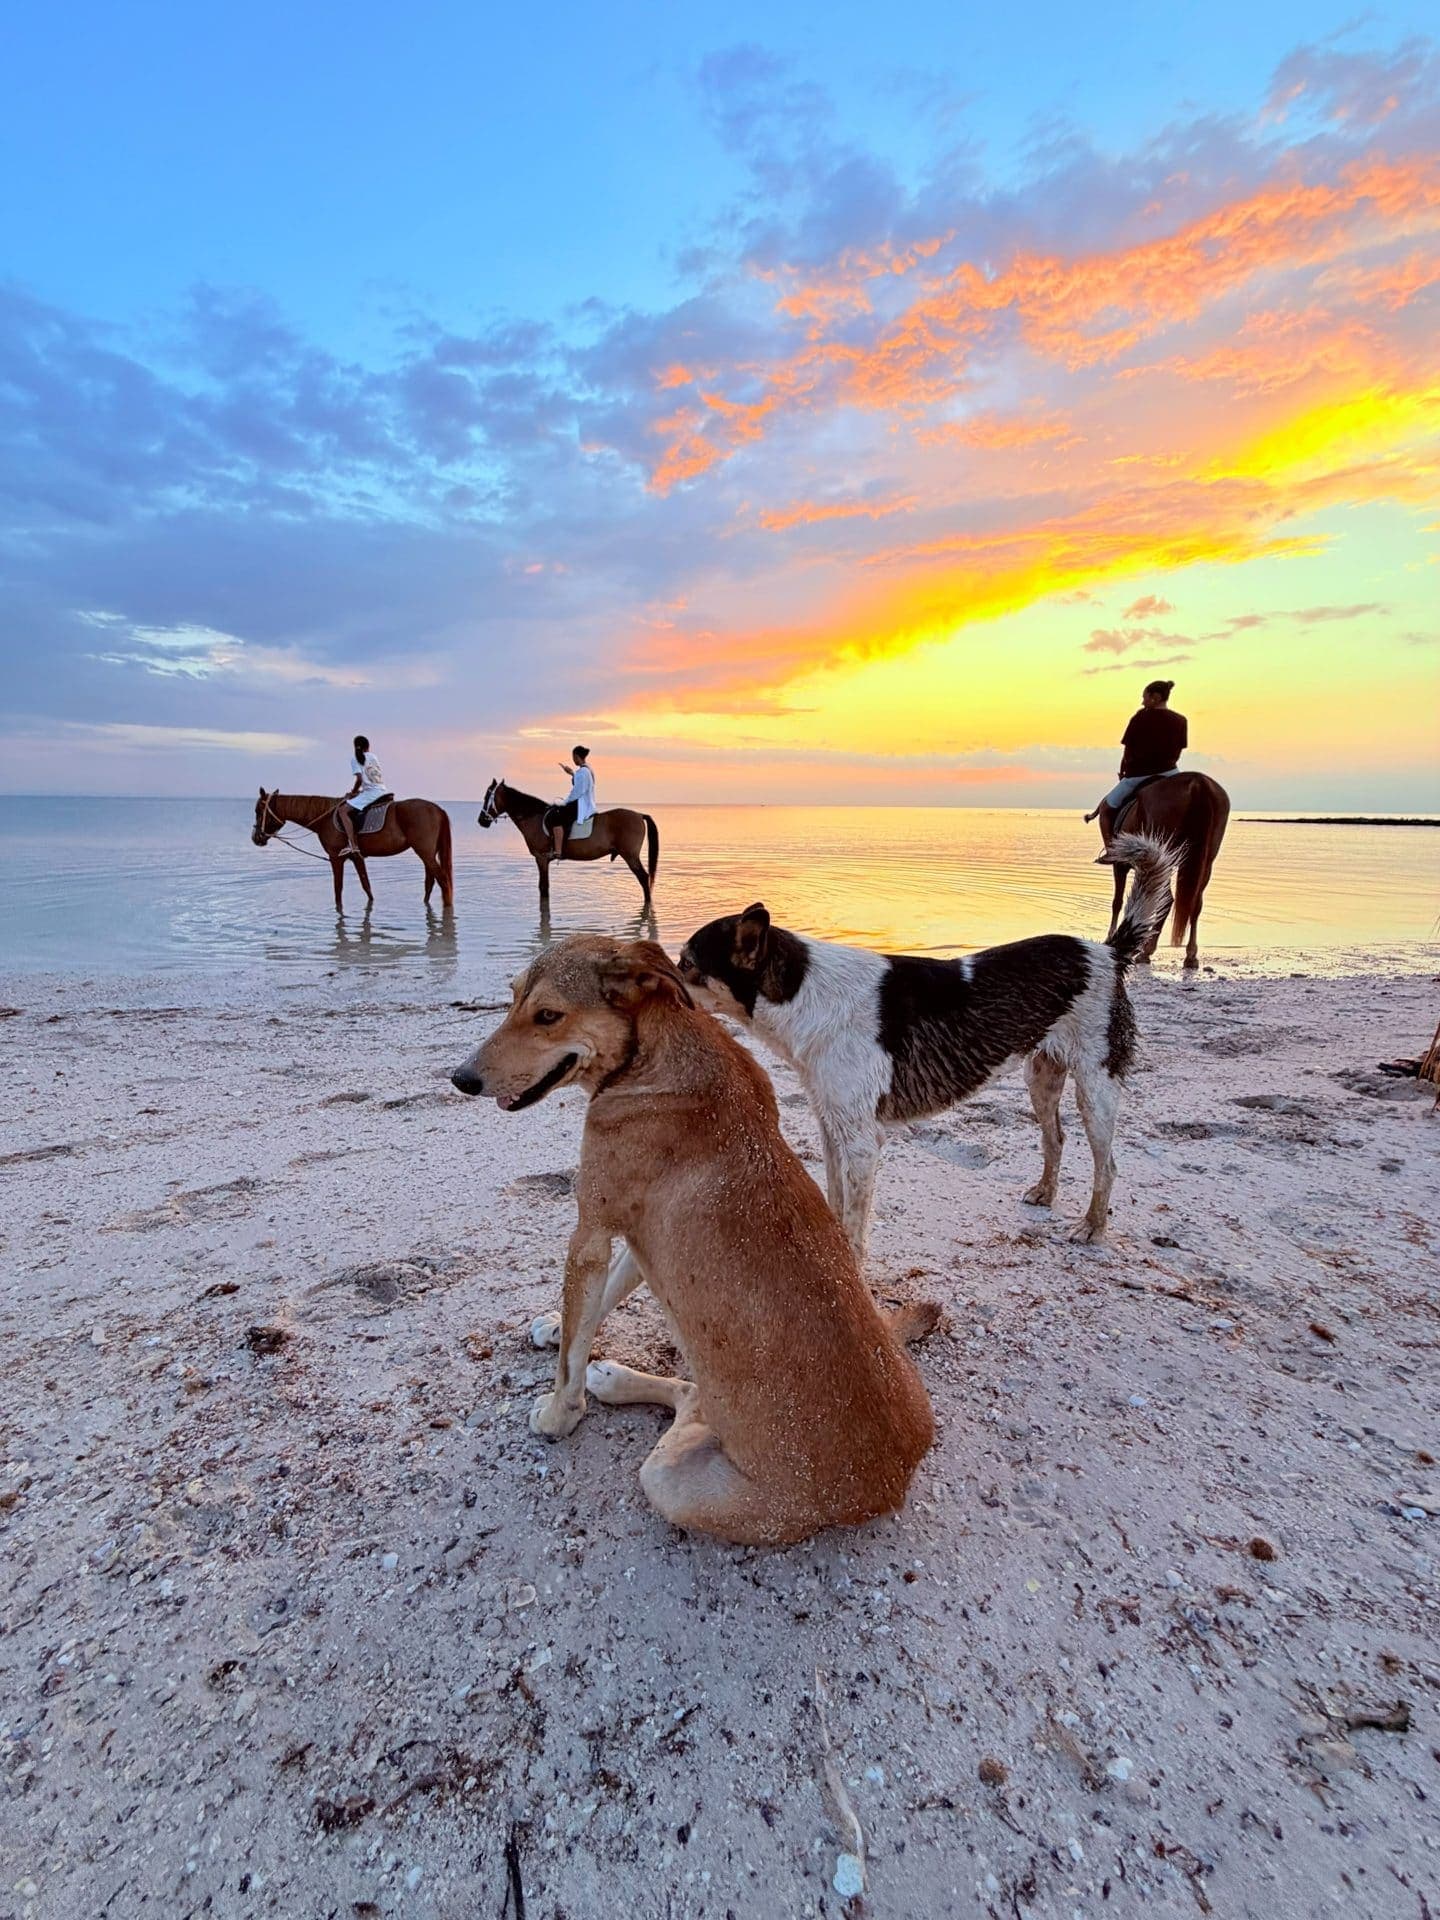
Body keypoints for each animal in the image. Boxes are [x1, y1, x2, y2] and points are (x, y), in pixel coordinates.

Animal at [252, 789, 454, 913]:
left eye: (258, 811)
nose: (256, 837)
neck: (324, 819)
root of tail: (438, 809)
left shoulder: (335, 858)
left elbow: (338, 889)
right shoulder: (357, 858)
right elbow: (367, 886)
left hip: (425, 853)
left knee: (443, 880)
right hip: (428, 854)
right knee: (430, 882)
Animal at [478, 777, 659, 907]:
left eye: (487, 796)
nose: (481, 821)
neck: (534, 818)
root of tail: (639, 815)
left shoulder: (541, 859)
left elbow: (543, 887)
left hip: (631, 856)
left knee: (644, 878)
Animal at [1104, 772, 1229, 969]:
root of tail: (1198, 783)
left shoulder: (1121, 864)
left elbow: (1117, 902)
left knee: (1167, 899)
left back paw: (1146, 950)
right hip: (1204, 862)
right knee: (1195, 904)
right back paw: (1190, 955)